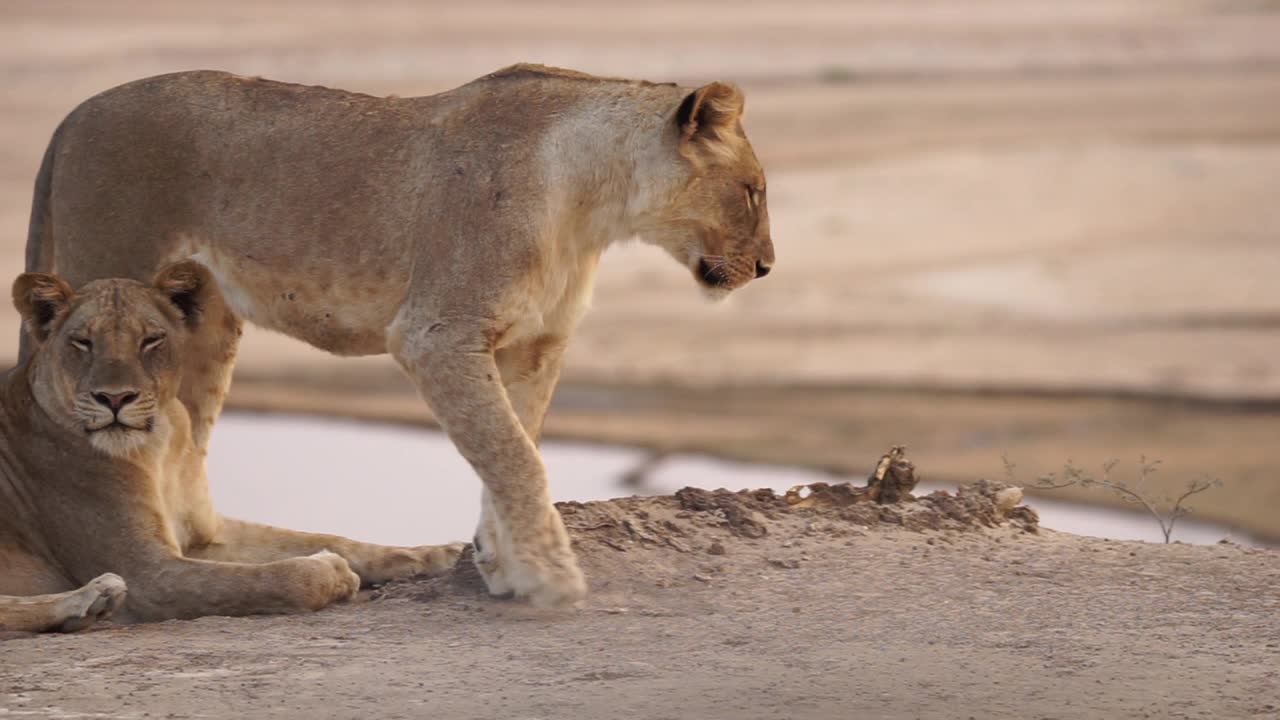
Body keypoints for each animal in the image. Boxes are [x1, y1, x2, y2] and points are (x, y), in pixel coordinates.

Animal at [2, 260, 463, 630]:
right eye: (82, 342)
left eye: (151, 340)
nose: (114, 399)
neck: (158, 446)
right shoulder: (149, 574)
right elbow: (270, 578)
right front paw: (331, 572)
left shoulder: (208, 533)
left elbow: (326, 537)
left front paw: (439, 553)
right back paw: (91, 599)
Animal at [24, 64, 773, 607]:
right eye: (753, 192)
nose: (767, 267)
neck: (595, 203)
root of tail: (71, 116)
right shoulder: (435, 332)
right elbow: (517, 457)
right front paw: (551, 579)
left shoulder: (535, 345)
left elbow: (512, 448)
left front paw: (501, 565)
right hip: (108, 288)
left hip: (205, 327)